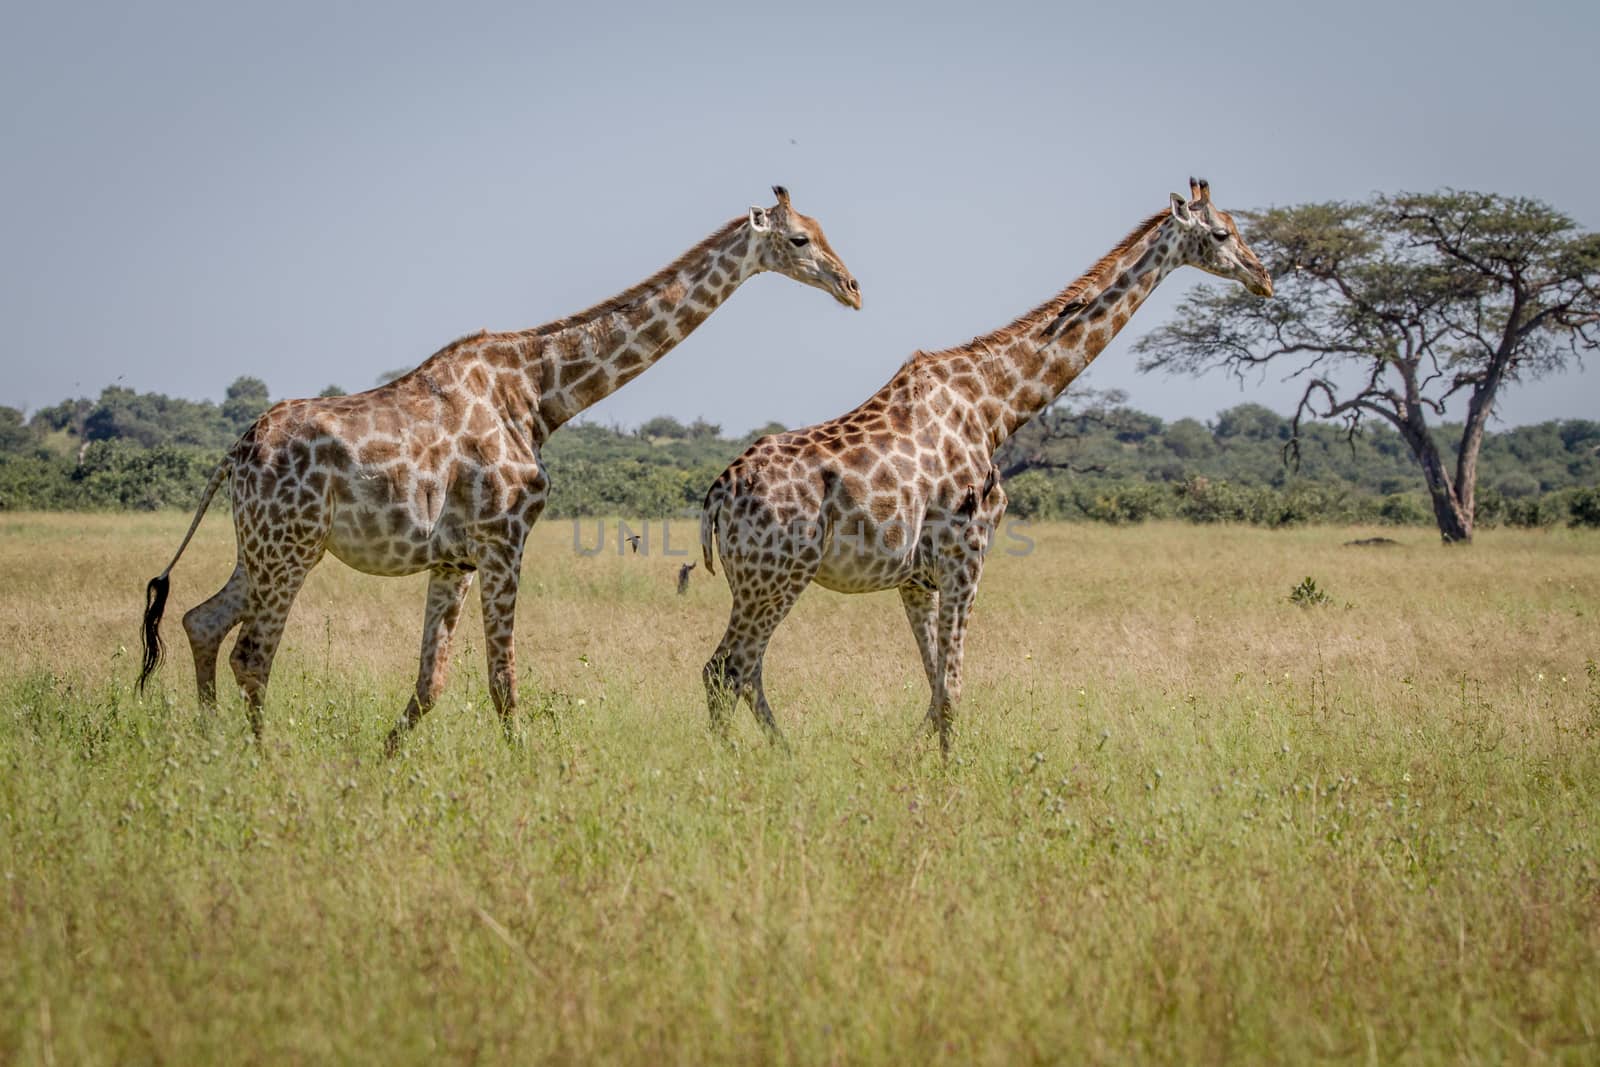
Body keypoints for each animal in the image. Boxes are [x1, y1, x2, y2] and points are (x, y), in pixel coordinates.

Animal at [140, 185, 864, 751]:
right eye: (799, 238)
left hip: (263, 545)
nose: (853, 287)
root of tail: (237, 451)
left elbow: (431, 680)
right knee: (252, 655)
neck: (540, 391)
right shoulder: (503, 537)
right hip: (290, 546)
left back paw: (211, 745)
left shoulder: (452, 558)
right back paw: (262, 759)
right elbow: (502, 678)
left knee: (202, 622)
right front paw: (524, 770)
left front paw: (381, 760)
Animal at [700, 179, 1273, 755]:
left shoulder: (917, 578)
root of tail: (719, 492)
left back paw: (782, 754)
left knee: (742, 670)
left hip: (757, 581)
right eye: (1221, 233)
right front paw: (949, 769)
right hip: (778, 574)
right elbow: (952, 686)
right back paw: (741, 759)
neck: (994, 407)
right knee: (726, 669)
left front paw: (912, 757)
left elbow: (934, 685)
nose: (1263, 277)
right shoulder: (966, 554)